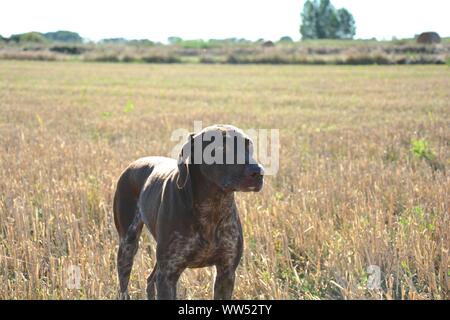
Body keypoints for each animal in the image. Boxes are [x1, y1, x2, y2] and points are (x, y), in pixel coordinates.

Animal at [112, 124, 266, 298]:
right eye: (221, 148)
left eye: (249, 146)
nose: (258, 172)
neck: (213, 206)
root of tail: (133, 164)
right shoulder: (168, 275)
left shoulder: (226, 273)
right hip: (127, 246)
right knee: (124, 287)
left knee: (150, 280)